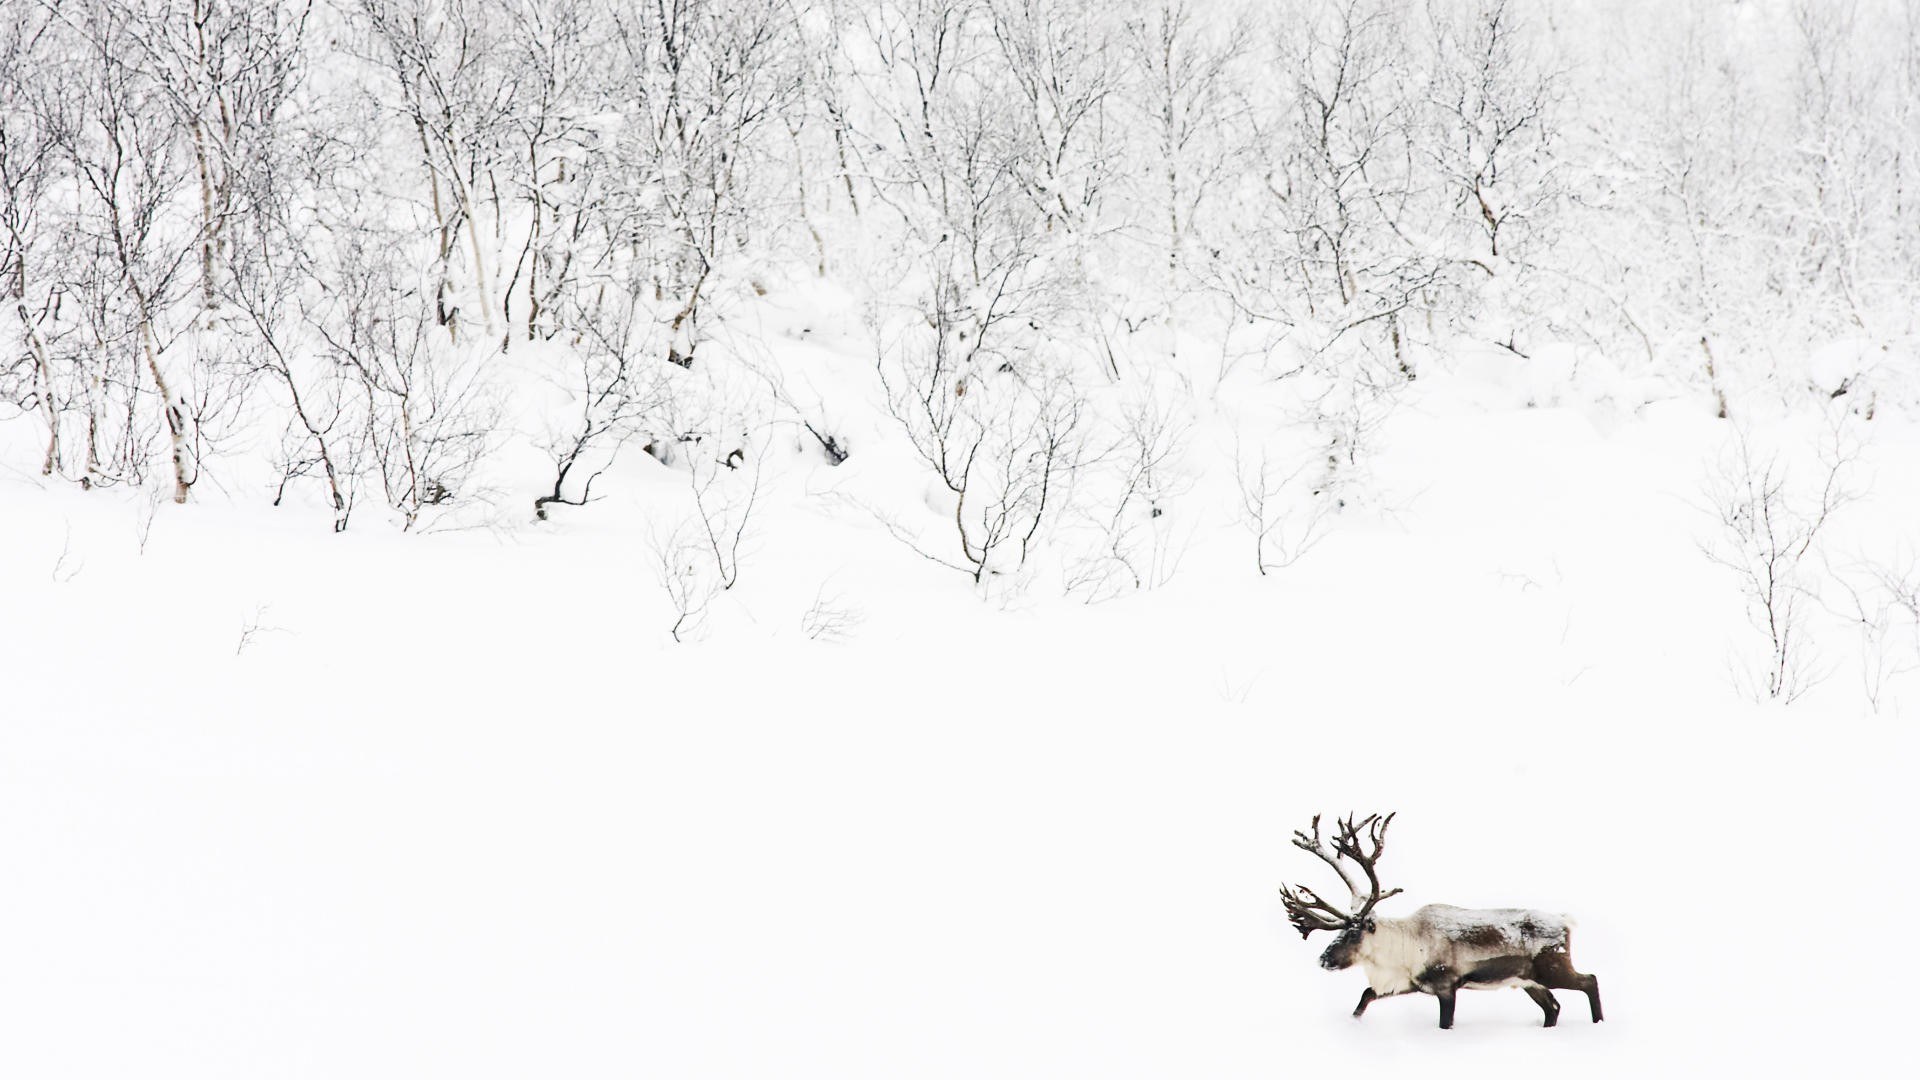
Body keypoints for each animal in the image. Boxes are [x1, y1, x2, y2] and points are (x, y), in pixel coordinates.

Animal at [1277, 813, 1602, 1030]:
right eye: (1340, 932)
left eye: (1354, 934)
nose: (1323, 960)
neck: (1405, 945)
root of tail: (1565, 921)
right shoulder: (1409, 982)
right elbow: (1366, 995)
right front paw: (1353, 1022)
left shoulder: (1447, 986)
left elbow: (1445, 1022)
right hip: (1527, 980)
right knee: (1554, 1007)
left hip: (1553, 969)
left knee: (1590, 980)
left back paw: (1598, 1023)